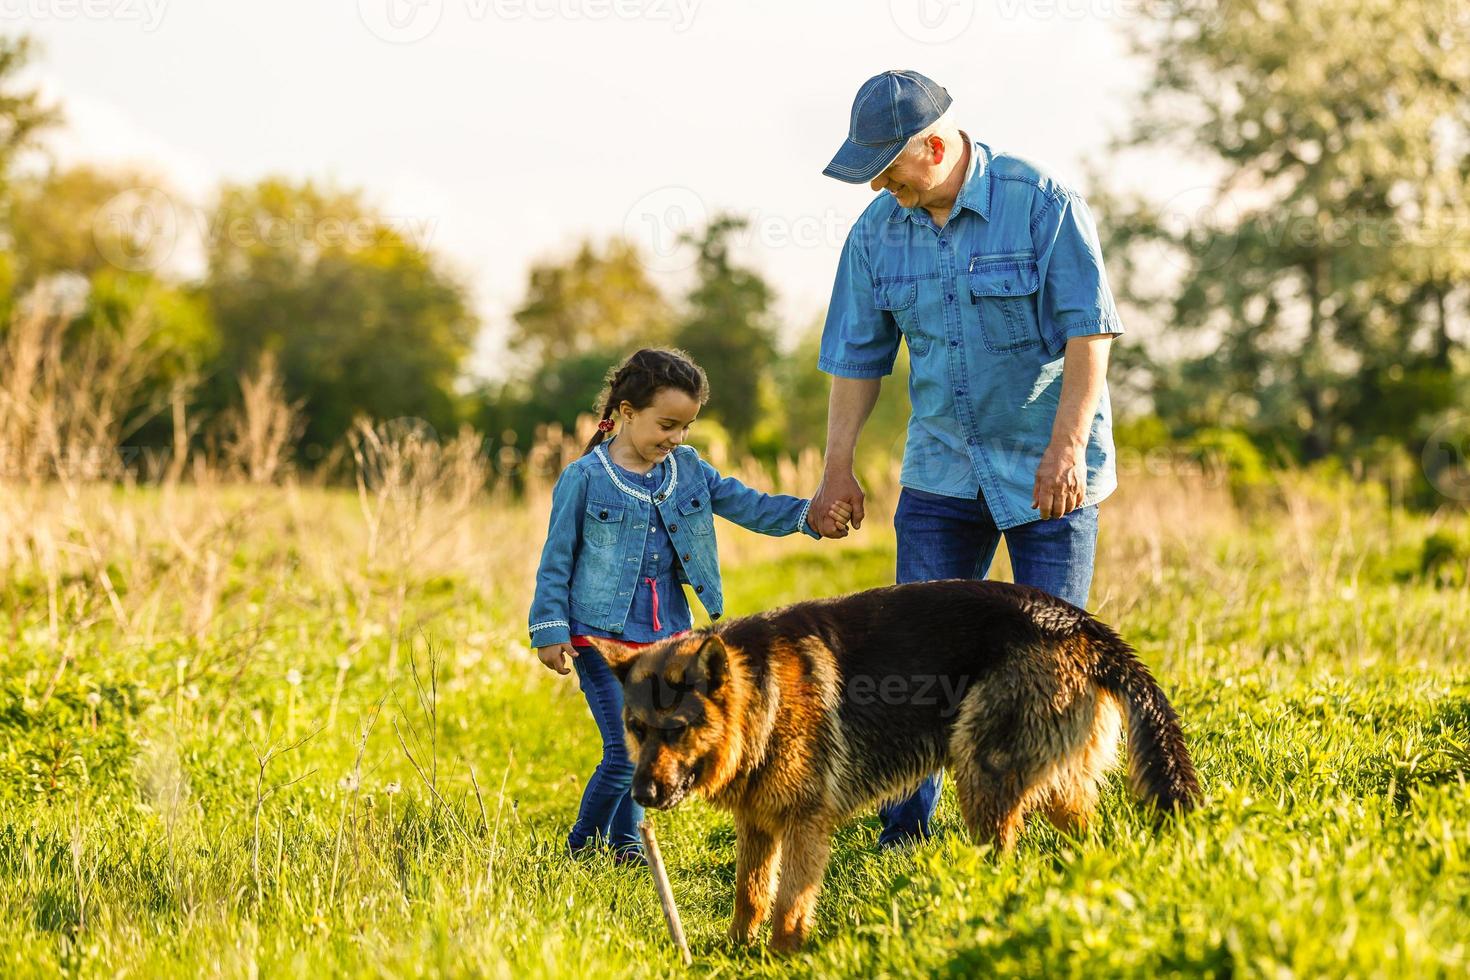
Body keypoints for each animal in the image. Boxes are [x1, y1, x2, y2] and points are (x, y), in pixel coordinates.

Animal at [590, 578, 1199, 952]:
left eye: (676, 730)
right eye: (637, 729)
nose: (641, 796)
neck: (760, 695)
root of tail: (1076, 621)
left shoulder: (805, 826)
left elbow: (789, 904)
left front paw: (782, 958)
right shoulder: (759, 824)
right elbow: (751, 893)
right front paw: (736, 952)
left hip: (980, 775)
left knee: (1003, 855)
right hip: (1054, 789)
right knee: (1087, 842)